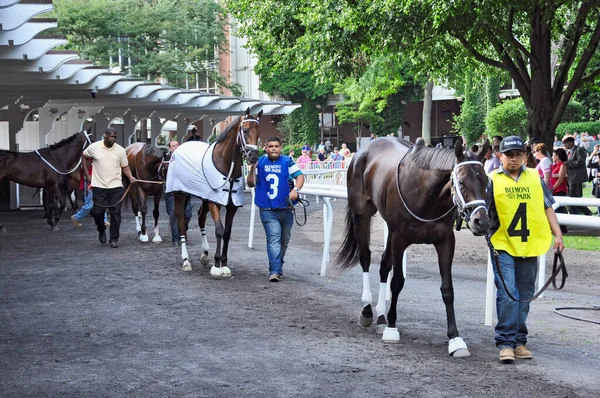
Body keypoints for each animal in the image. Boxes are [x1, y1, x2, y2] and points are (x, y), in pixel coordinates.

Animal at [165, 107, 262, 278]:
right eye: (245, 130)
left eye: (259, 132)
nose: (253, 156)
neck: (225, 165)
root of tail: (178, 149)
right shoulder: (214, 201)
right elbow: (219, 230)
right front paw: (217, 265)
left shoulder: (231, 205)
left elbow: (227, 232)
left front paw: (224, 264)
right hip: (180, 195)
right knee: (182, 223)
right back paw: (186, 261)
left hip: (203, 197)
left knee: (200, 218)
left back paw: (204, 254)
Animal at [336, 137, 490, 358]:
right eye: (461, 182)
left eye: (485, 181)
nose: (481, 222)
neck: (426, 193)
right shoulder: (400, 238)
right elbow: (397, 282)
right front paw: (392, 328)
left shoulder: (445, 242)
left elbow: (447, 289)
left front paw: (455, 339)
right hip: (361, 214)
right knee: (365, 257)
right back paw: (367, 311)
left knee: (384, 265)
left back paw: (381, 317)